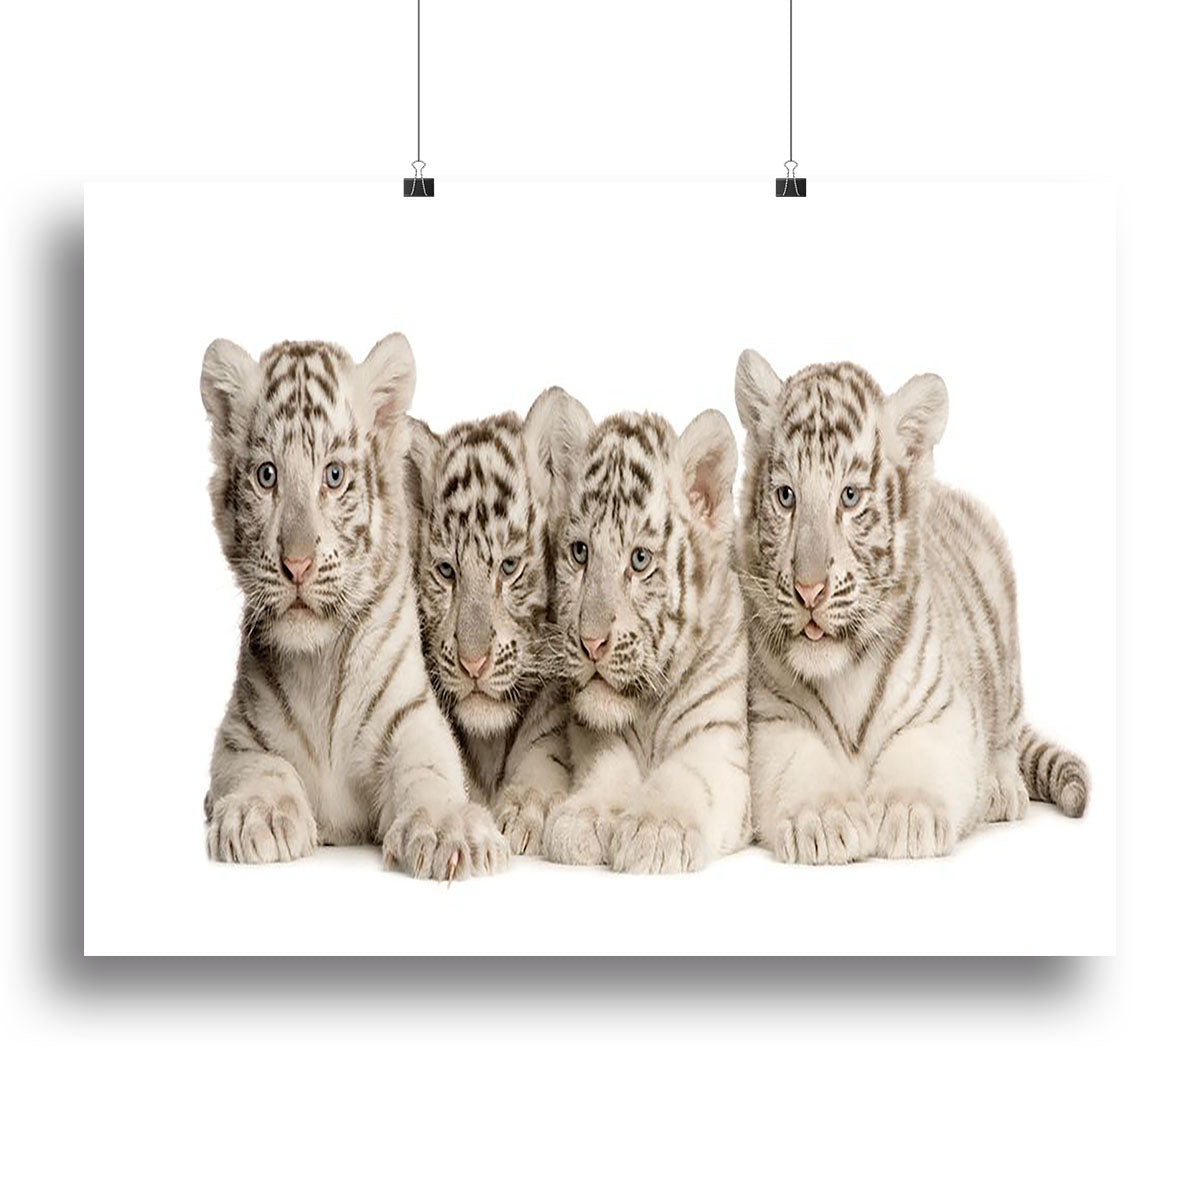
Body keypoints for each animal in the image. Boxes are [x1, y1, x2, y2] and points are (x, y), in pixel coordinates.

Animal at [200, 333, 507, 880]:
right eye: (266, 475)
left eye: (334, 475)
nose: (296, 564)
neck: (316, 665)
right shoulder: (237, 736)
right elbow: (261, 766)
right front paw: (260, 815)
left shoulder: (414, 719)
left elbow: (427, 771)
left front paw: (450, 831)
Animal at [539, 405, 752, 874]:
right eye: (580, 552)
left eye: (639, 560)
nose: (591, 643)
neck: (647, 708)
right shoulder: (594, 734)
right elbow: (607, 768)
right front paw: (584, 818)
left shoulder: (719, 741)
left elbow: (688, 777)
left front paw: (657, 829)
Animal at [734, 349, 1089, 864]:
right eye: (786, 497)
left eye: (849, 497)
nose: (809, 590)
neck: (842, 674)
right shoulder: (770, 718)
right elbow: (797, 764)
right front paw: (823, 822)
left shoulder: (942, 709)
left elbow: (922, 757)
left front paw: (907, 815)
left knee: (1006, 734)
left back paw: (1002, 787)